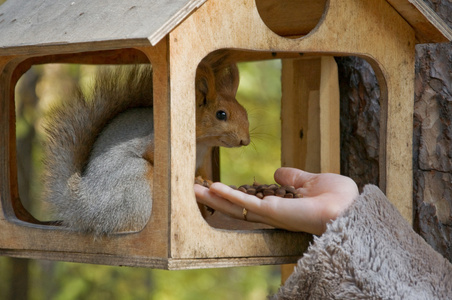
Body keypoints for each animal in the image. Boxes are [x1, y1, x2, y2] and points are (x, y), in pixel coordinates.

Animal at [42, 55, 251, 236]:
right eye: (221, 114)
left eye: (245, 112)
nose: (245, 141)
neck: (201, 144)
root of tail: (82, 207)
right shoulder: (154, 145)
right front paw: (195, 181)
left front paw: (205, 181)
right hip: (134, 181)